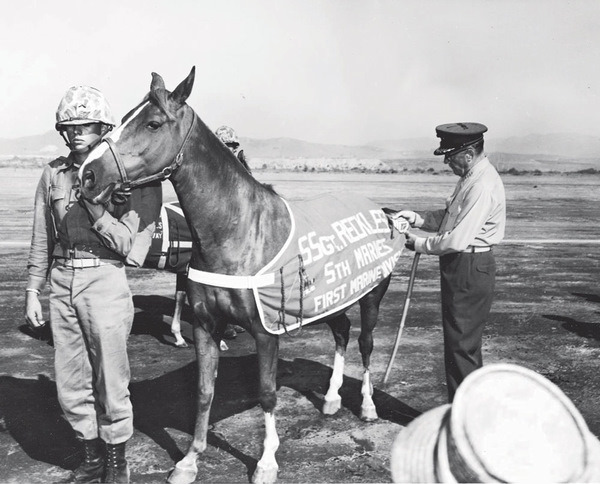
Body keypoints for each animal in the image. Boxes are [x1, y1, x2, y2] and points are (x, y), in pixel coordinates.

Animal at [78, 68, 404, 484]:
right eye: (120, 119)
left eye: (152, 123)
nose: (88, 174)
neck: (239, 232)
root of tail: (383, 211)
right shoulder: (206, 325)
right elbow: (204, 391)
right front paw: (189, 461)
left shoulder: (266, 331)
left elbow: (267, 393)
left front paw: (266, 462)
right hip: (333, 297)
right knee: (342, 332)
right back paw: (331, 399)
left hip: (372, 295)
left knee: (364, 343)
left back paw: (366, 406)